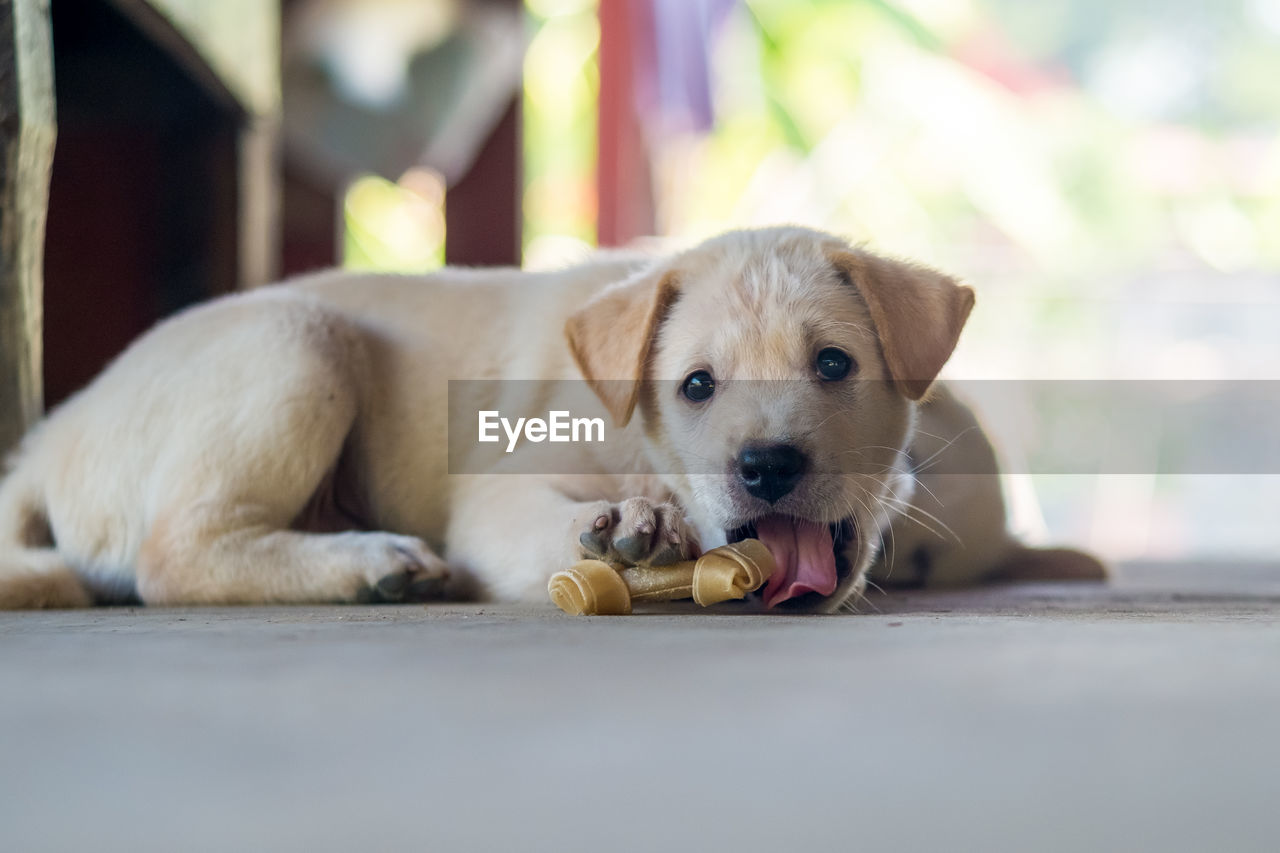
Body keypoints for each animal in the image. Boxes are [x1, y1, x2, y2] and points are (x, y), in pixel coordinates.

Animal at [0, 225, 1100, 607]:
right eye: (696, 385)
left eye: (834, 364)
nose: (766, 467)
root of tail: (49, 437)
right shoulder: (494, 492)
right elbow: (546, 523)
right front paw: (627, 528)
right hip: (297, 342)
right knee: (173, 554)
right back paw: (369, 564)